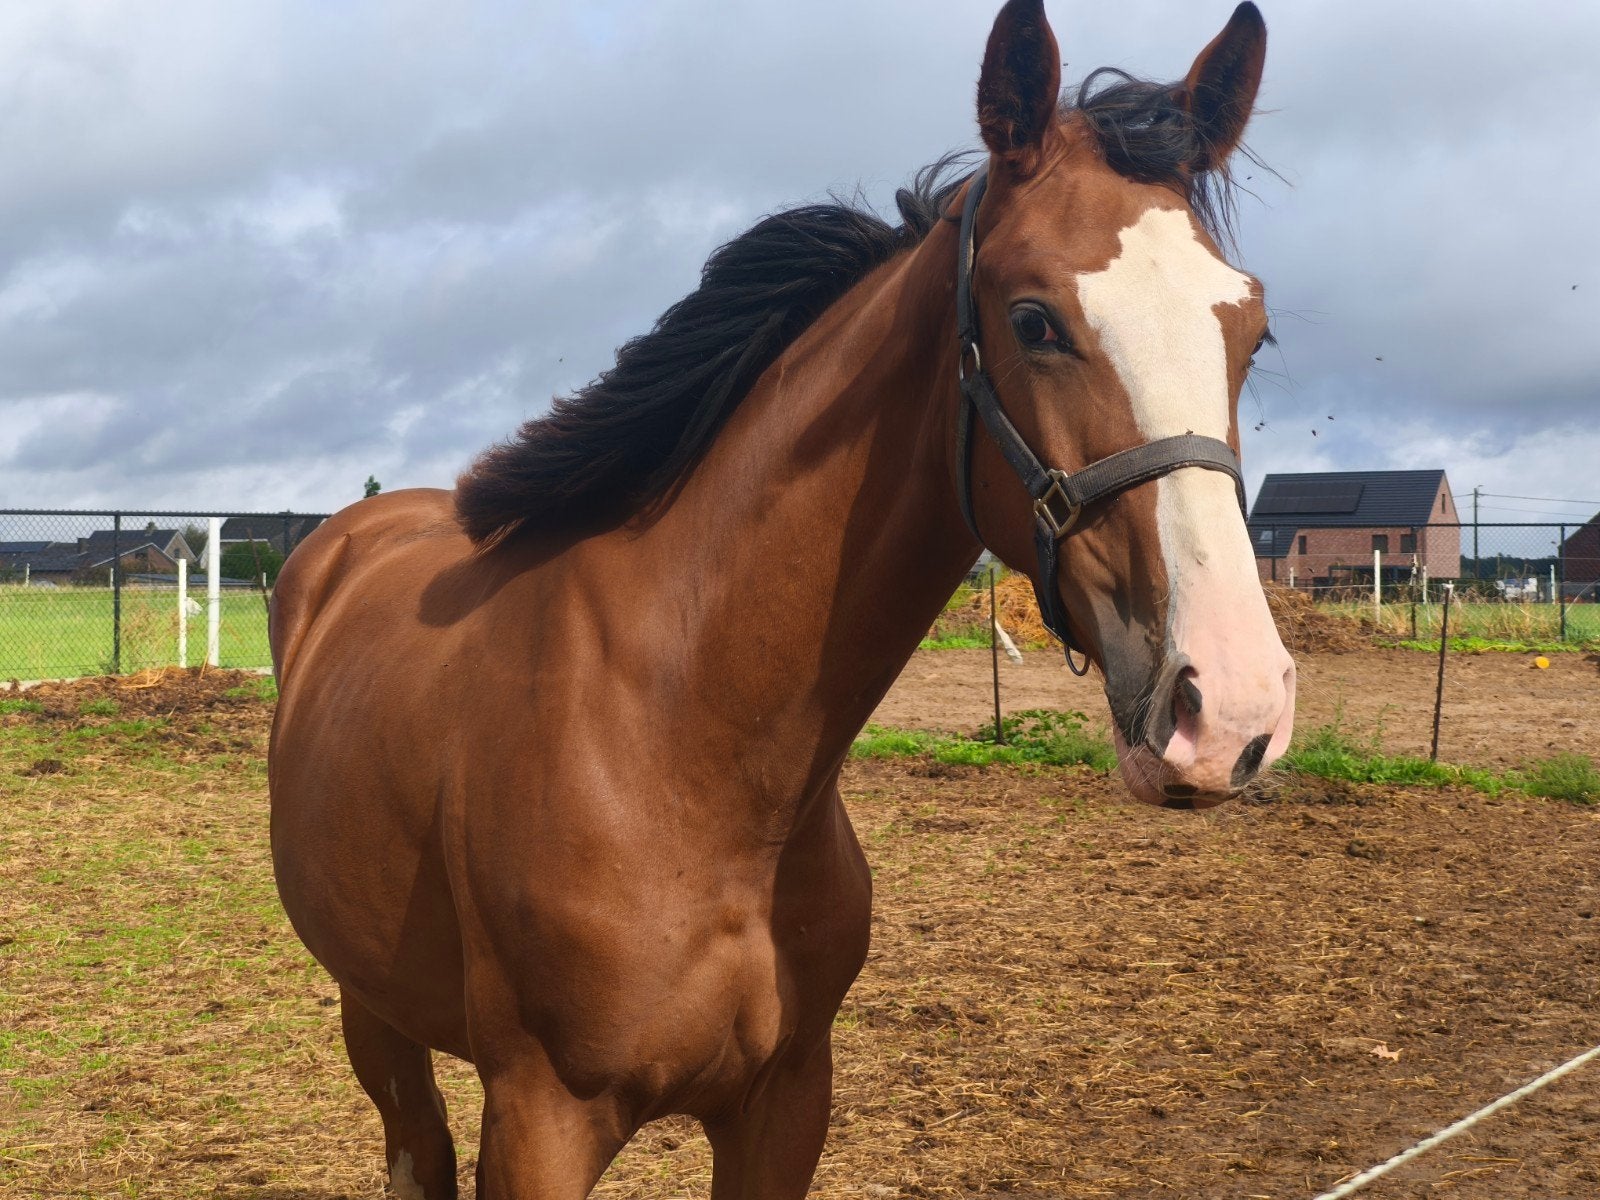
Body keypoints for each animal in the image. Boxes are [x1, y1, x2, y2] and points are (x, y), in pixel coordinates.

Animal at [267, 2, 1295, 1194]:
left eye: (1252, 330)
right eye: (1034, 319)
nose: (1231, 709)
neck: (682, 746)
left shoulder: (786, 1101)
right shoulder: (537, 1121)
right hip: (371, 1007)